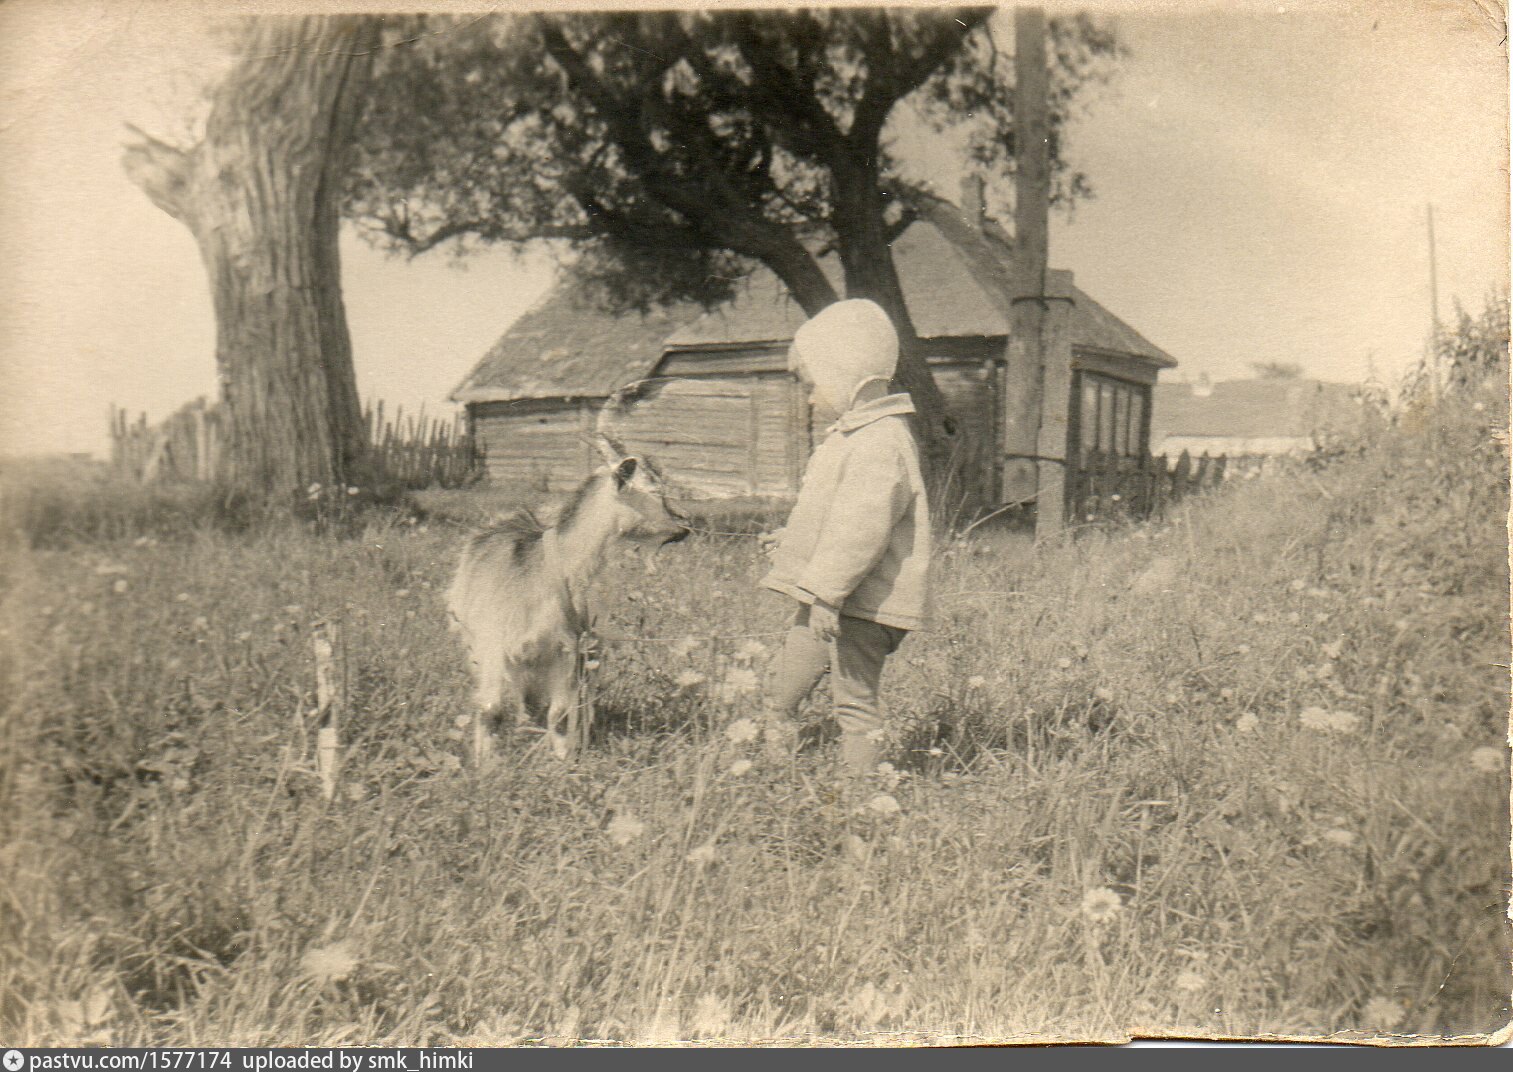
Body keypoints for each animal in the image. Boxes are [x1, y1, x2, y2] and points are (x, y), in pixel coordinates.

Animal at [444, 435, 689, 762]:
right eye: (655, 491)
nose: (683, 527)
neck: (552, 569)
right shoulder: (493, 643)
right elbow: (490, 709)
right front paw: (487, 764)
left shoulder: (566, 649)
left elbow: (559, 714)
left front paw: (562, 760)